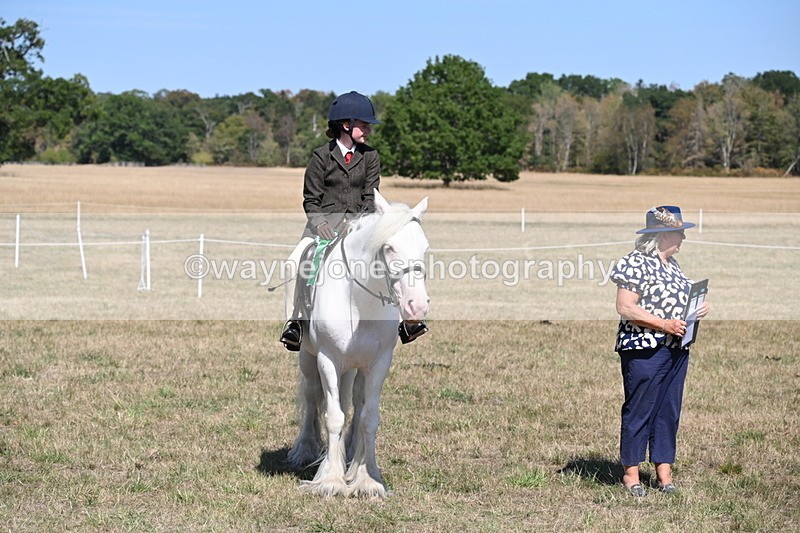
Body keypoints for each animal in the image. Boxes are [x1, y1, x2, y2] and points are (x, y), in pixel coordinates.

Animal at [286, 190, 430, 498]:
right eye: (389, 248)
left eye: (424, 247)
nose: (417, 306)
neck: (358, 302)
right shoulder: (328, 360)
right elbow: (333, 416)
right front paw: (331, 480)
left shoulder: (379, 363)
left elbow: (368, 417)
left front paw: (367, 479)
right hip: (309, 358)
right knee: (313, 396)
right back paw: (306, 450)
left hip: (356, 367)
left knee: (355, 402)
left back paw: (350, 453)